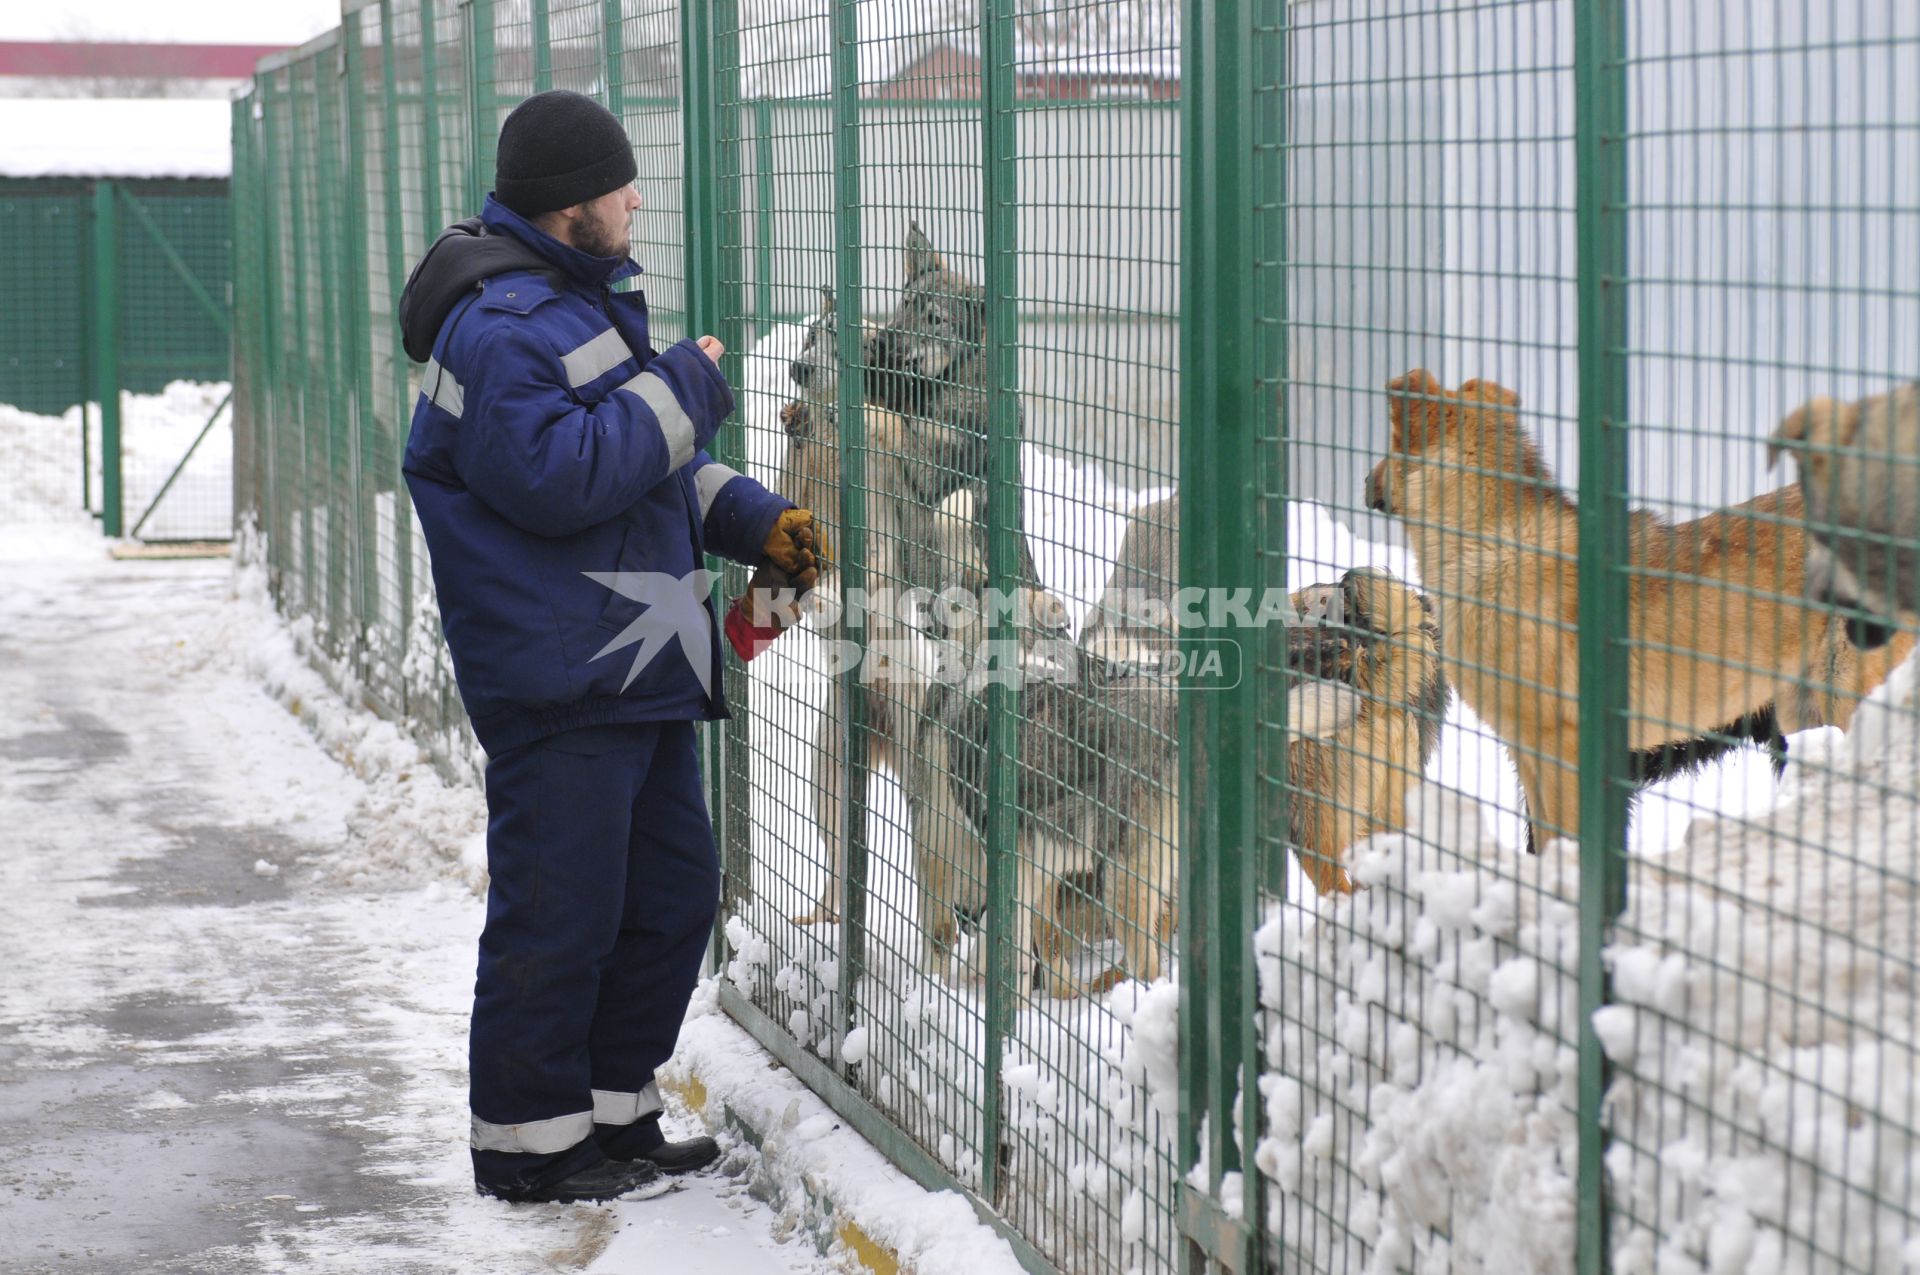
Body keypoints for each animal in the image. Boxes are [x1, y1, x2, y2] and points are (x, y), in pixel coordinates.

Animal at [1359, 366, 1912, 856]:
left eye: (1389, 443)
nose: (1364, 480)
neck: (1494, 541)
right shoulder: (1530, 755)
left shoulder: (1563, 756)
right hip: (1804, 711)